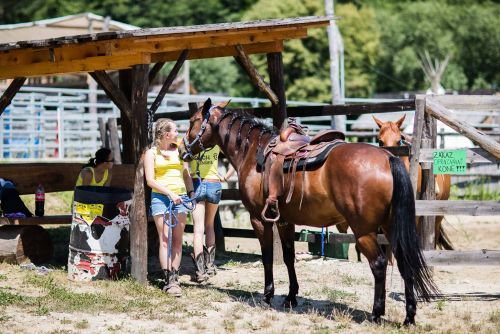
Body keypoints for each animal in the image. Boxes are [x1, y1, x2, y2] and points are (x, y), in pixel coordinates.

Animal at [179, 98, 438, 324]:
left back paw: (376, 314)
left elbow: (267, 257)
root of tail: (387, 158)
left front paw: (267, 295)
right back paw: (409, 316)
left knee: (379, 264)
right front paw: (291, 297)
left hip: (364, 231)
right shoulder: (285, 221)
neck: (254, 152)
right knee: (404, 262)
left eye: (192, 120)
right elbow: (288, 257)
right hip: (390, 226)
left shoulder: (259, 220)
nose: (182, 148)